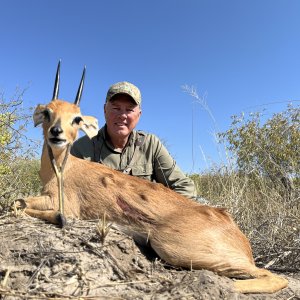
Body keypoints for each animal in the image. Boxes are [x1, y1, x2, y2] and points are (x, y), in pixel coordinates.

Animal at [18, 62, 288, 294]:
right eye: (48, 112)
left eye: (77, 118)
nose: (57, 133)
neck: (61, 169)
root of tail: (233, 228)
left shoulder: (63, 203)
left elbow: (19, 204)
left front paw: (60, 218)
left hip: (173, 248)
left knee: (275, 277)